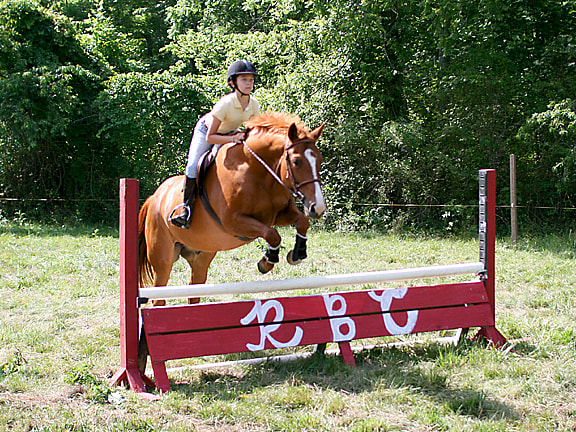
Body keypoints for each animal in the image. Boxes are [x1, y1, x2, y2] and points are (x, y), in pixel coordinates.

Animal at [136, 113, 324, 306]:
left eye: (319, 160)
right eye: (296, 161)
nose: (317, 208)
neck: (258, 173)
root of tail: (154, 198)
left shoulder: (278, 214)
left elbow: (302, 221)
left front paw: (297, 253)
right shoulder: (234, 222)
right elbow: (272, 234)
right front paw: (266, 262)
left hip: (200, 257)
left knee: (193, 292)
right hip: (163, 259)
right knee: (159, 295)